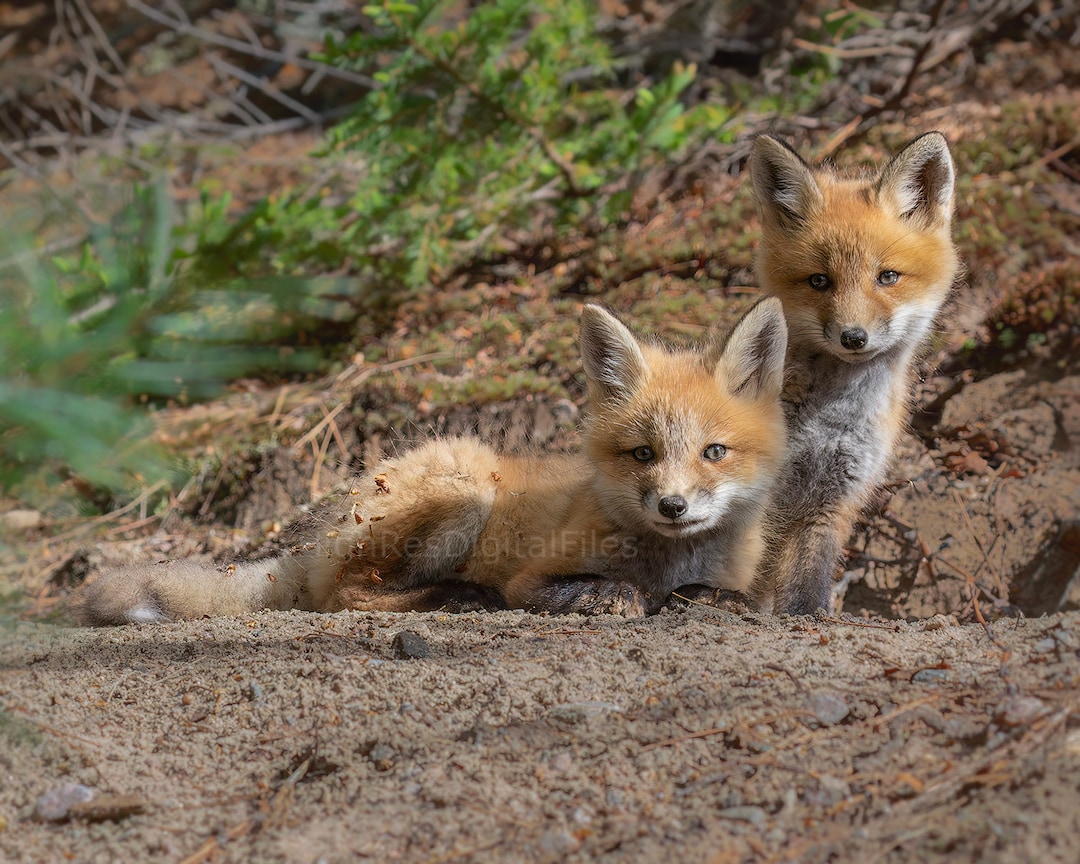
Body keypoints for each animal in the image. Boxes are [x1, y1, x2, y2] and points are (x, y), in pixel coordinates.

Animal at [78, 299, 788, 625]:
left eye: (713, 452)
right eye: (643, 454)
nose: (673, 506)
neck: (669, 556)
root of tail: (321, 530)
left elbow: (733, 597)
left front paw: (703, 598)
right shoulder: (535, 577)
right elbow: (601, 589)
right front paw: (625, 596)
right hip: (464, 487)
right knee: (346, 597)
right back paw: (460, 598)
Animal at [742, 131, 961, 615]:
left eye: (888, 277)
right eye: (819, 281)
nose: (853, 337)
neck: (832, 420)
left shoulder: (836, 499)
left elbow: (809, 582)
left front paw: (807, 616)